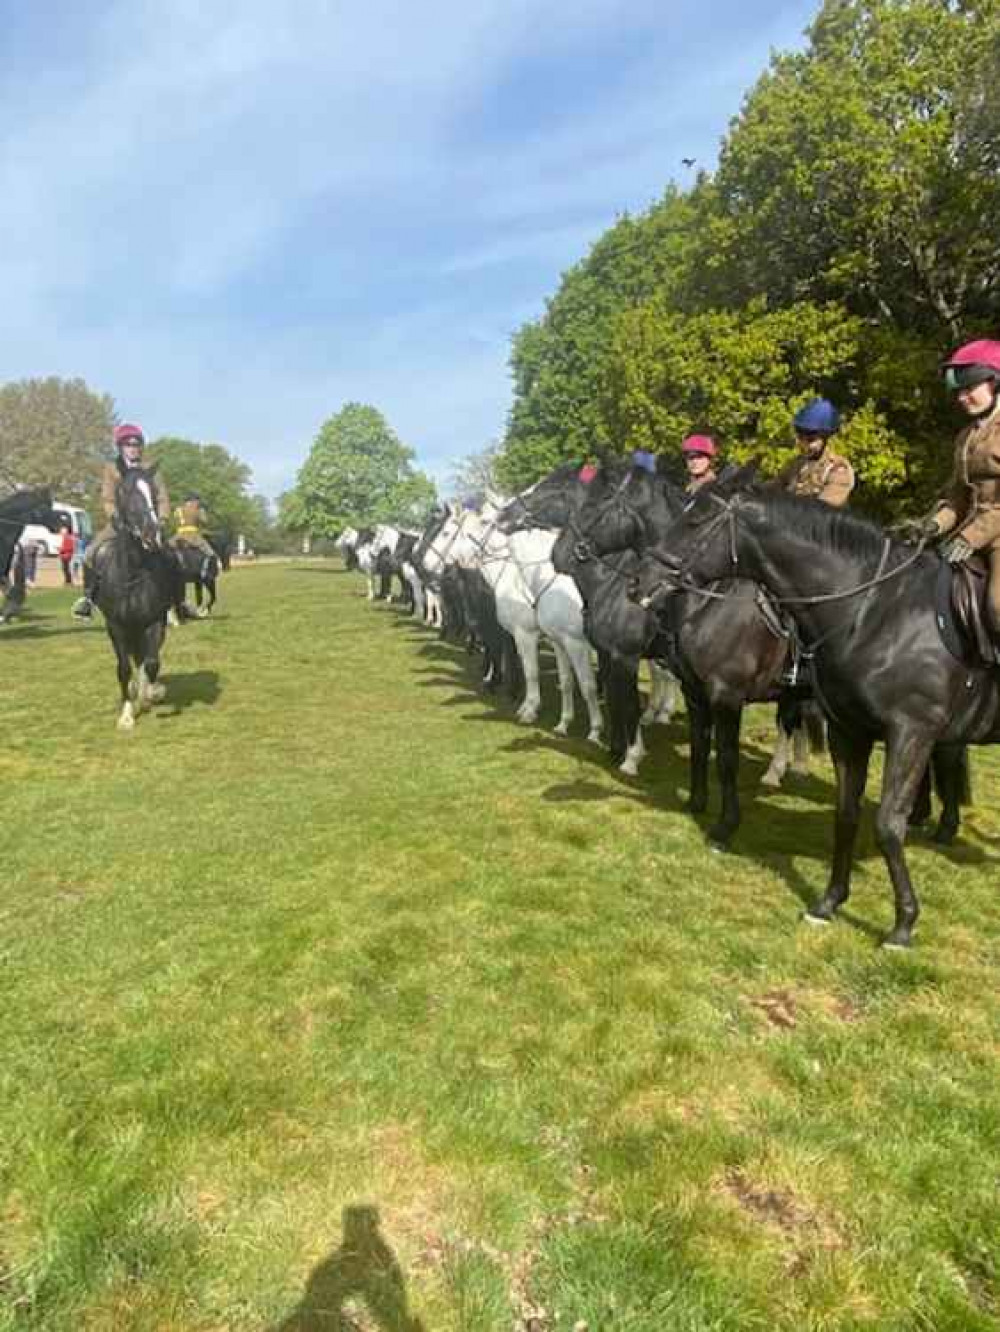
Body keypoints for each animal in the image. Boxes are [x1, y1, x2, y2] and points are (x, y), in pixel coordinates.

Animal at [89, 466, 186, 729]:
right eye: (124, 490)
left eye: (152, 490)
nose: (151, 535)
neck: (133, 572)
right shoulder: (116, 626)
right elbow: (123, 668)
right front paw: (126, 716)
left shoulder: (154, 622)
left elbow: (151, 663)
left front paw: (152, 694)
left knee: (145, 660)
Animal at [636, 468, 990, 948]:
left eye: (696, 520)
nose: (638, 581)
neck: (878, 611)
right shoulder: (848, 730)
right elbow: (846, 814)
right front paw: (828, 903)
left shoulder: (909, 730)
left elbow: (885, 824)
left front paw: (903, 924)